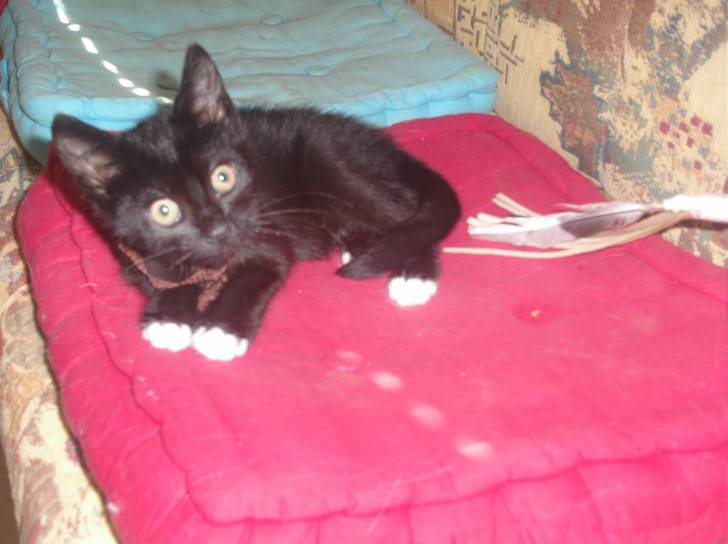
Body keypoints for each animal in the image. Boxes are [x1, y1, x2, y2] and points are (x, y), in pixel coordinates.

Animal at [52, 44, 461, 361]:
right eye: (164, 211)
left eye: (223, 177)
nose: (219, 227)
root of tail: (385, 146)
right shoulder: (137, 255)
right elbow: (165, 278)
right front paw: (170, 317)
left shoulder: (267, 232)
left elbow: (254, 274)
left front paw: (221, 330)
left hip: (333, 159)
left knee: (409, 215)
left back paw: (413, 274)